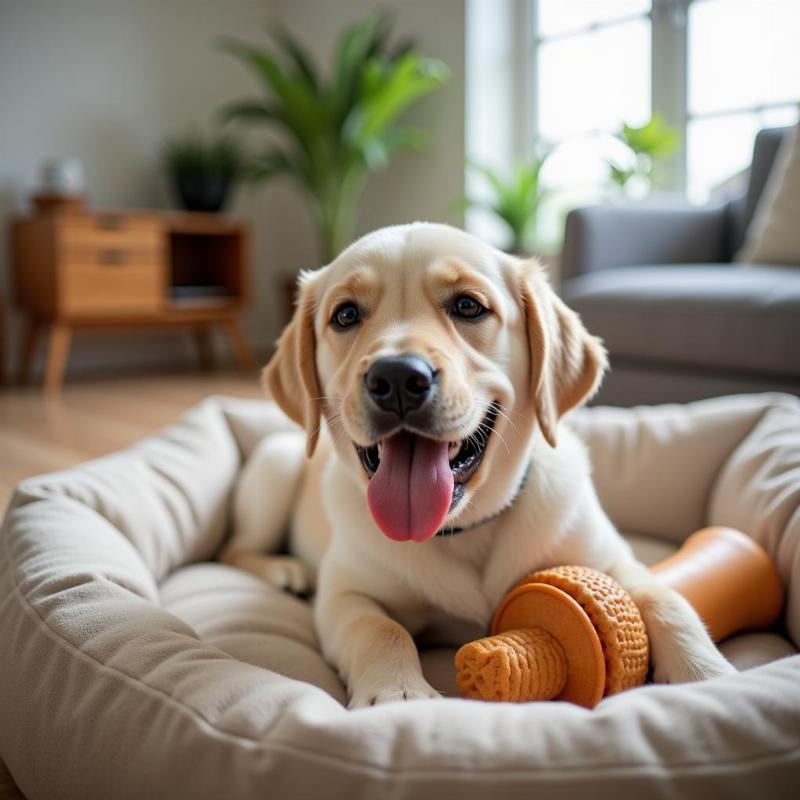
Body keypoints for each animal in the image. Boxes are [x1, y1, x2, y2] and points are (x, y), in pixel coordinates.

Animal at [222, 223, 736, 708]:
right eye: (345, 315)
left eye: (468, 306)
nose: (397, 377)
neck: (465, 529)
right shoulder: (344, 594)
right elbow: (381, 629)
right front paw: (397, 692)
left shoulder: (610, 560)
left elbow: (665, 598)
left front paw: (707, 676)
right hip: (276, 464)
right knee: (234, 549)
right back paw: (285, 572)